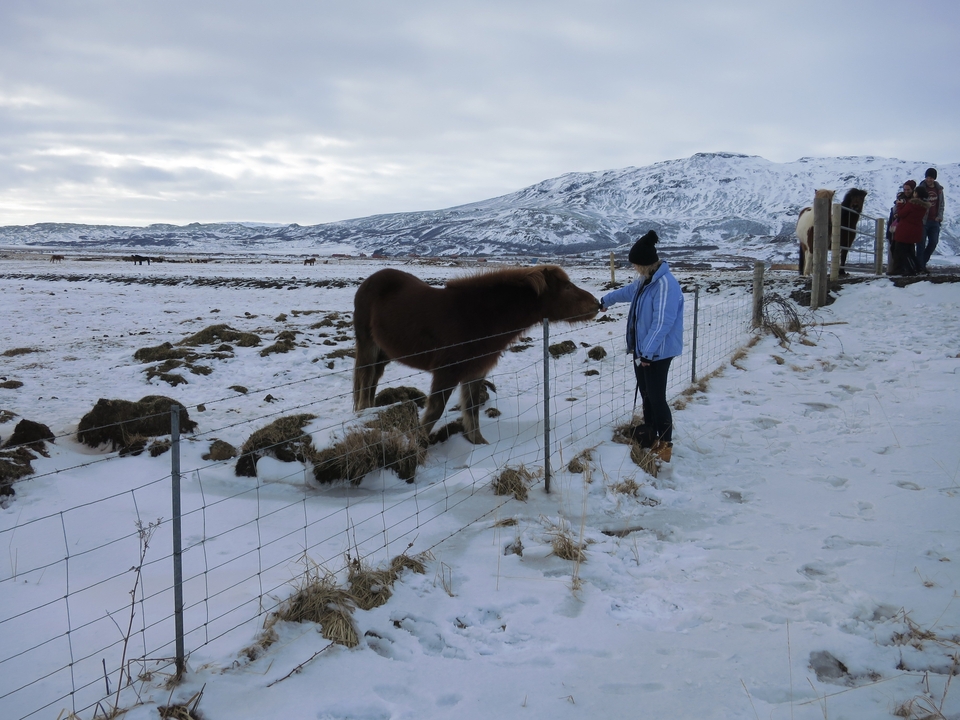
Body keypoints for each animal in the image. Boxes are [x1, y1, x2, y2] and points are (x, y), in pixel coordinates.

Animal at [353, 265, 600, 444]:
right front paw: (418, 444)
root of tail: (369, 281)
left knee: (373, 380)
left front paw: (478, 443)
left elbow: (471, 409)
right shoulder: (446, 372)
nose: (597, 304)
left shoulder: (475, 371)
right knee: (365, 378)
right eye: (567, 288)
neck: (478, 317)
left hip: (384, 351)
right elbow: (435, 411)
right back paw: (364, 412)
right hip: (368, 344)